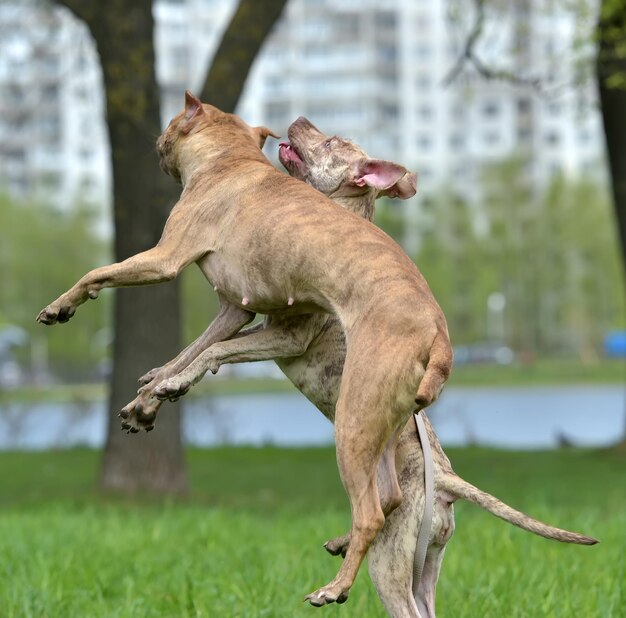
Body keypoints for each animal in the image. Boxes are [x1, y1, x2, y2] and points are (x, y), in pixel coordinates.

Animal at [140, 118, 596, 612]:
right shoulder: (254, 320)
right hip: (417, 550)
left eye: (330, 142)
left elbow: (214, 350)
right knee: (386, 514)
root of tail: (447, 482)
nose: (297, 120)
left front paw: (168, 384)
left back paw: (334, 586)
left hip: (375, 515)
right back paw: (341, 546)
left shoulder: (286, 336)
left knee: (376, 520)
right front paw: (155, 387)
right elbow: (198, 348)